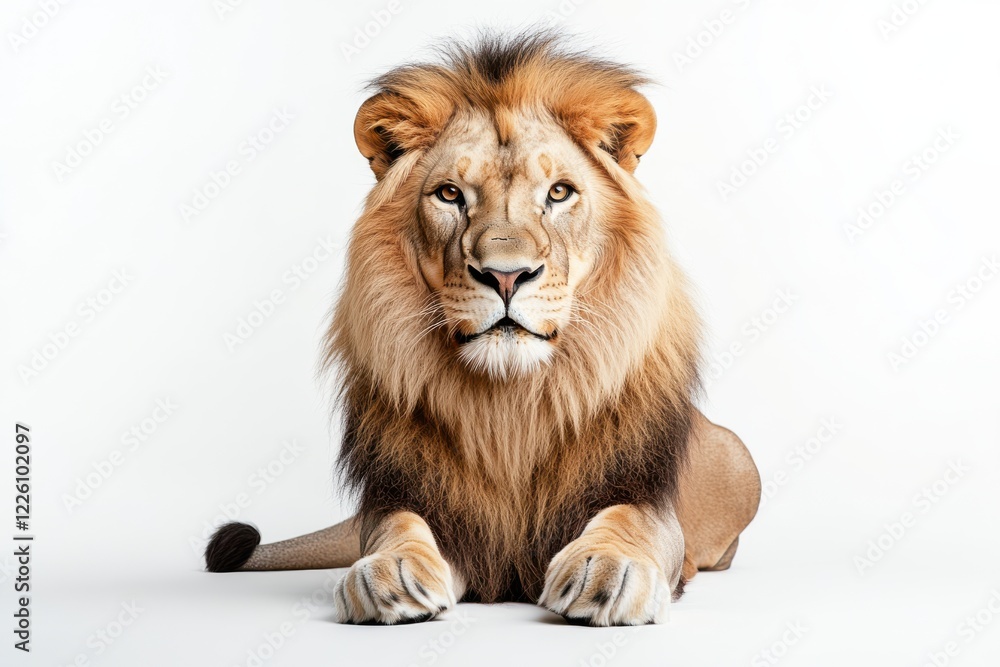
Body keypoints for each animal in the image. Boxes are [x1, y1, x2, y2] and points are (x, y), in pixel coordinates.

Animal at [204, 32, 761, 627]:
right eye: (450, 195)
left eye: (559, 193)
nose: (507, 275)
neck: (508, 407)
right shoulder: (419, 500)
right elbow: (395, 528)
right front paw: (390, 572)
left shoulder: (643, 494)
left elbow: (630, 522)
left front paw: (610, 569)